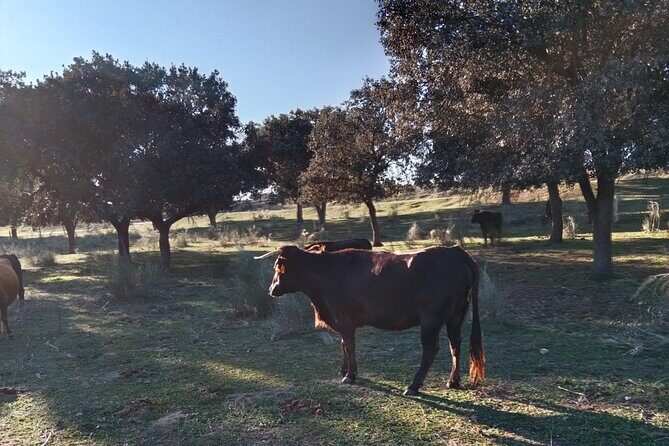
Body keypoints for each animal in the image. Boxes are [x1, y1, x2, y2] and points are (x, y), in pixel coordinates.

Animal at [255, 245, 485, 395]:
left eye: (277, 267)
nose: (271, 289)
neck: (325, 273)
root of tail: (455, 251)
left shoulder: (344, 320)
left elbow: (349, 346)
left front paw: (349, 375)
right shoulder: (343, 322)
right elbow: (343, 344)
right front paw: (346, 369)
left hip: (431, 319)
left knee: (431, 349)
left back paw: (413, 386)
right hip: (455, 316)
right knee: (455, 344)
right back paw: (453, 381)